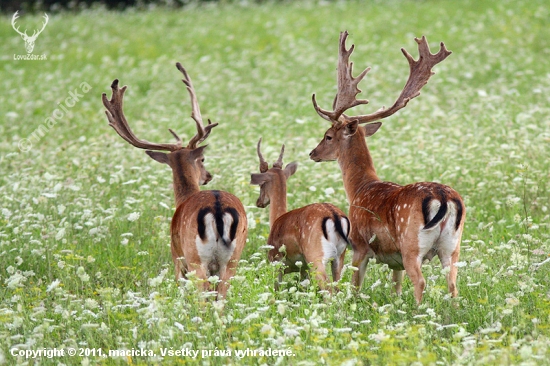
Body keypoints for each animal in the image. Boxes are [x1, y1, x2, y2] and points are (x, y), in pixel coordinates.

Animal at [102, 62, 249, 298]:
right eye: (202, 160)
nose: (208, 176)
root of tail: (217, 207)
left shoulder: (176, 257)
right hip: (233, 259)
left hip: (195, 258)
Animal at [252, 139, 352, 290]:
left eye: (261, 184)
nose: (259, 202)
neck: (276, 220)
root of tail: (334, 216)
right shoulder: (303, 268)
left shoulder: (275, 262)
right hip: (340, 256)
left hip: (315, 256)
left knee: (327, 287)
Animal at [310, 31, 466, 304]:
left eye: (328, 136)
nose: (312, 153)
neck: (360, 188)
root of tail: (444, 198)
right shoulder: (396, 262)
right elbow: (396, 287)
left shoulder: (359, 244)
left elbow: (356, 285)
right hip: (452, 246)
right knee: (453, 284)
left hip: (411, 242)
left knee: (421, 282)